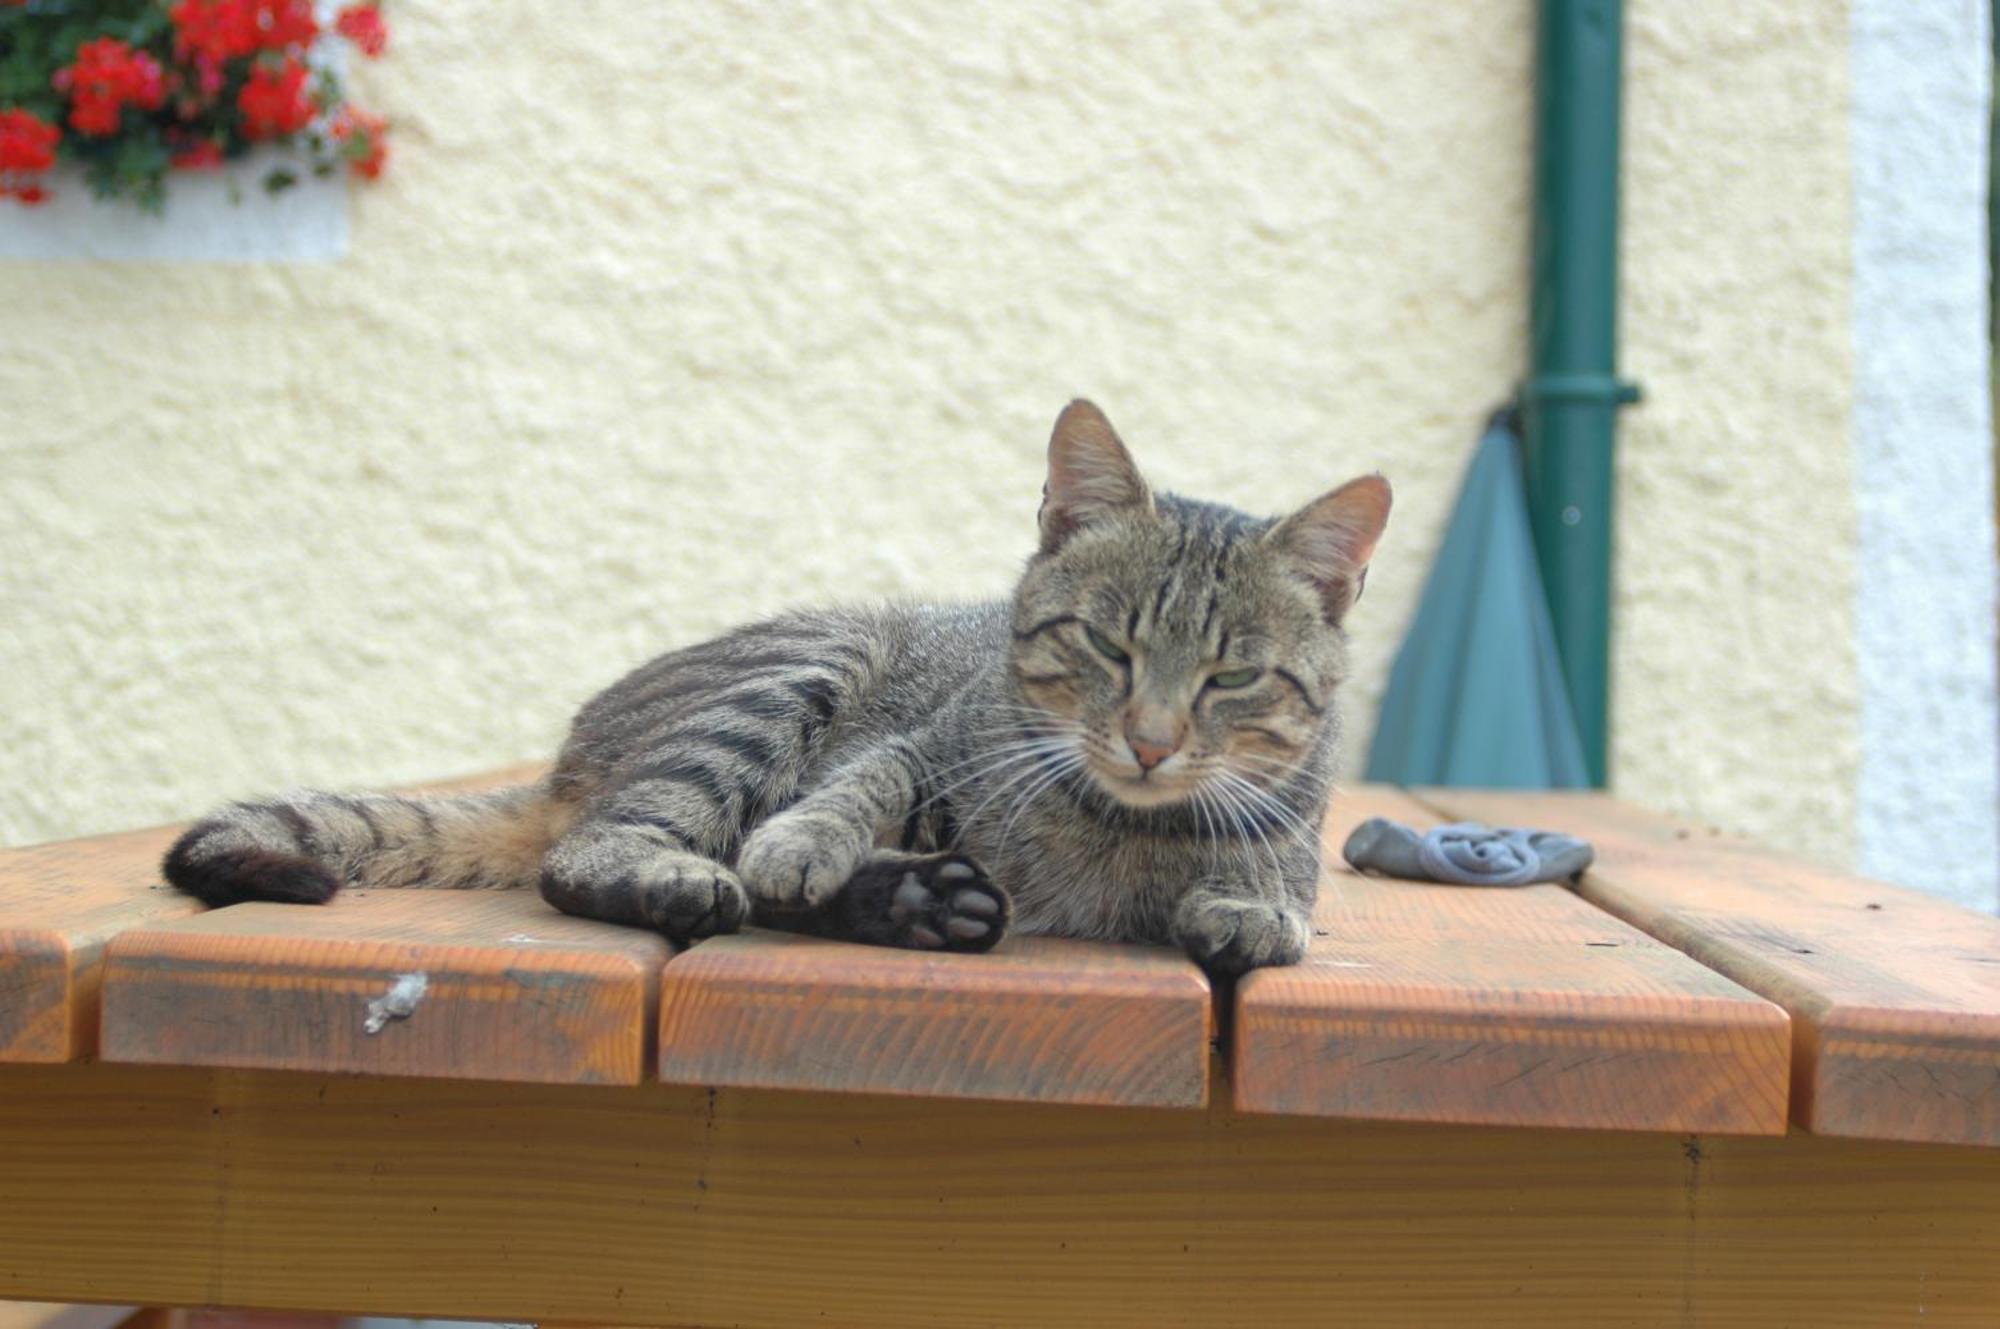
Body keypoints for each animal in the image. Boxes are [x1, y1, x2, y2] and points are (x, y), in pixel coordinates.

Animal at [164, 402, 1392, 976]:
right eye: (1106, 645)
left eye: (1233, 675)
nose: (1146, 740)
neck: (1115, 825)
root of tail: (570, 761)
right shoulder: (923, 744)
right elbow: (850, 793)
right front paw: (809, 840)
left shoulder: (1285, 826)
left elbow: (1280, 884)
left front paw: (1252, 904)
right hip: (797, 675)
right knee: (610, 858)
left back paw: (918, 904)